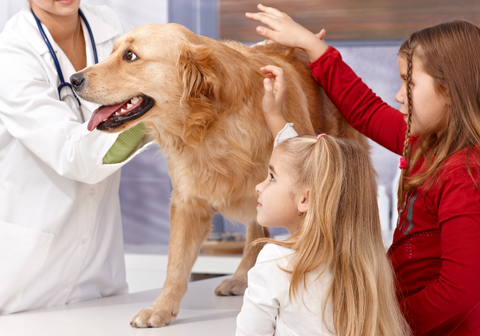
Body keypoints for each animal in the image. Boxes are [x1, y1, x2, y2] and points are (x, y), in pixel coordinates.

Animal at [70, 22, 368, 326]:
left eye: (130, 56)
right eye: (113, 51)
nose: (74, 79)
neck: (210, 123)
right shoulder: (187, 202)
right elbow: (176, 263)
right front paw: (161, 309)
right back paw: (241, 277)